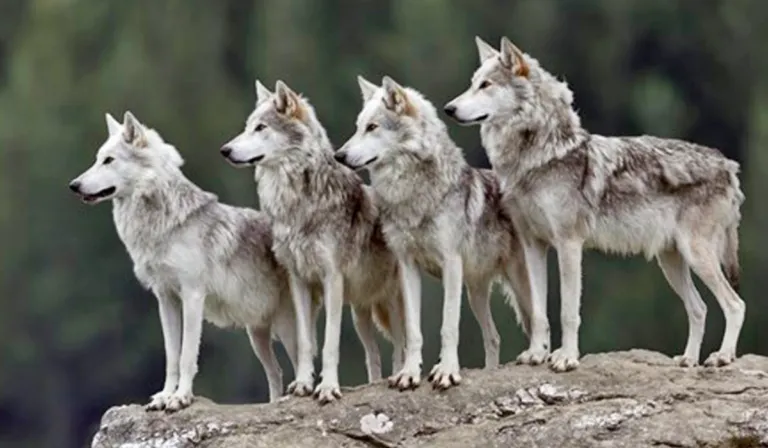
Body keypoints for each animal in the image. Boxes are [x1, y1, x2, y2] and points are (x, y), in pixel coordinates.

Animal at [68, 111, 310, 411]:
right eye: (97, 159)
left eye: (109, 160)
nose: (74, 185)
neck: (164, 225)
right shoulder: (166, 300)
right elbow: (171, 356)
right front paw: (164, 396)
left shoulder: (193, 296)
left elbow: (186, 356)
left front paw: (180, 398)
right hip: (257, 335)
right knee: (275, 372)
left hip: (286, 328)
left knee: (301, 363)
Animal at [220, 80, 406, 403]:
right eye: (247, 127)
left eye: (260, 127)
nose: (225, 150)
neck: (298, 204)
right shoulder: (299, 280)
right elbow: (306, 342)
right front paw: (303, 384)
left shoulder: (332, 279)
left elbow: (330, 343)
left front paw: (328, 387)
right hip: (360, 313)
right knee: (373, 354)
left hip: (390, 301)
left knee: (400, 345)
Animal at [335, 75, 540, 390]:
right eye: (358, 127)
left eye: (372, 127)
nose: (339, 155)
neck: (412, 196)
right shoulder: (407, 267)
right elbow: (413, 330)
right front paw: (408, 374)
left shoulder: (450, 265)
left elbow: (448, 326)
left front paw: (446, 372)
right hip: (476, 291)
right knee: (493, 337)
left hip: (517, 282)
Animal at [445, 36, 746, 371]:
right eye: (472, 83)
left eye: (486, 85)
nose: (448, 109)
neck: (538, 157)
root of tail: (728, 165)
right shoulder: (533, 245)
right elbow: (538, 312)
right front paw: (537, 354)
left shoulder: (569, 244)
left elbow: (567, 312)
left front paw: (566, 358)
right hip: (671, 261)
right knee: (700, 308)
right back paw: (688, 360)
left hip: (696, 256)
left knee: (735, 304)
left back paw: (722, 357)